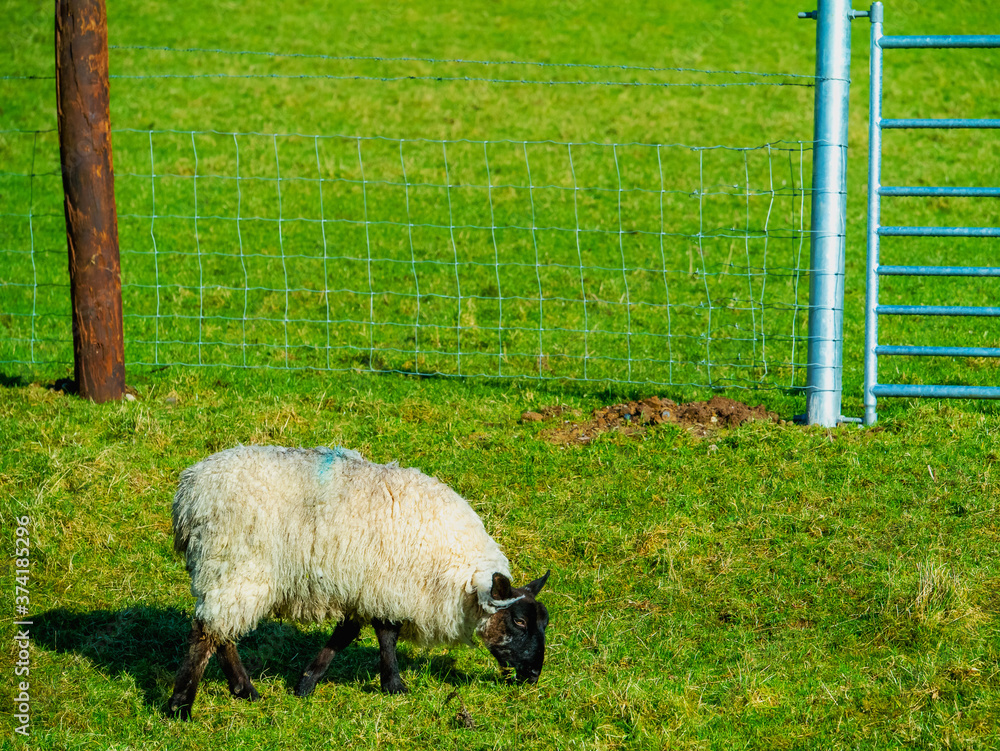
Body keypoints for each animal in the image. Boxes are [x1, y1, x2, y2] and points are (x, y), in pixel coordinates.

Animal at [167, 445, 550, 719]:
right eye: (518, 621)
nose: (534, 675)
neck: (456, 574)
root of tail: (188, 492)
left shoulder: (365, 588)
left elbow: (347, 635)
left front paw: (307, 681)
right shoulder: (387, 585)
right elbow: (386, 635)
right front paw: (394, 685)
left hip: (227, 572)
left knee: (221, 632)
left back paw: (243, 690)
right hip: (234, 564)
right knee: (206, 632)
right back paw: (180, 705)